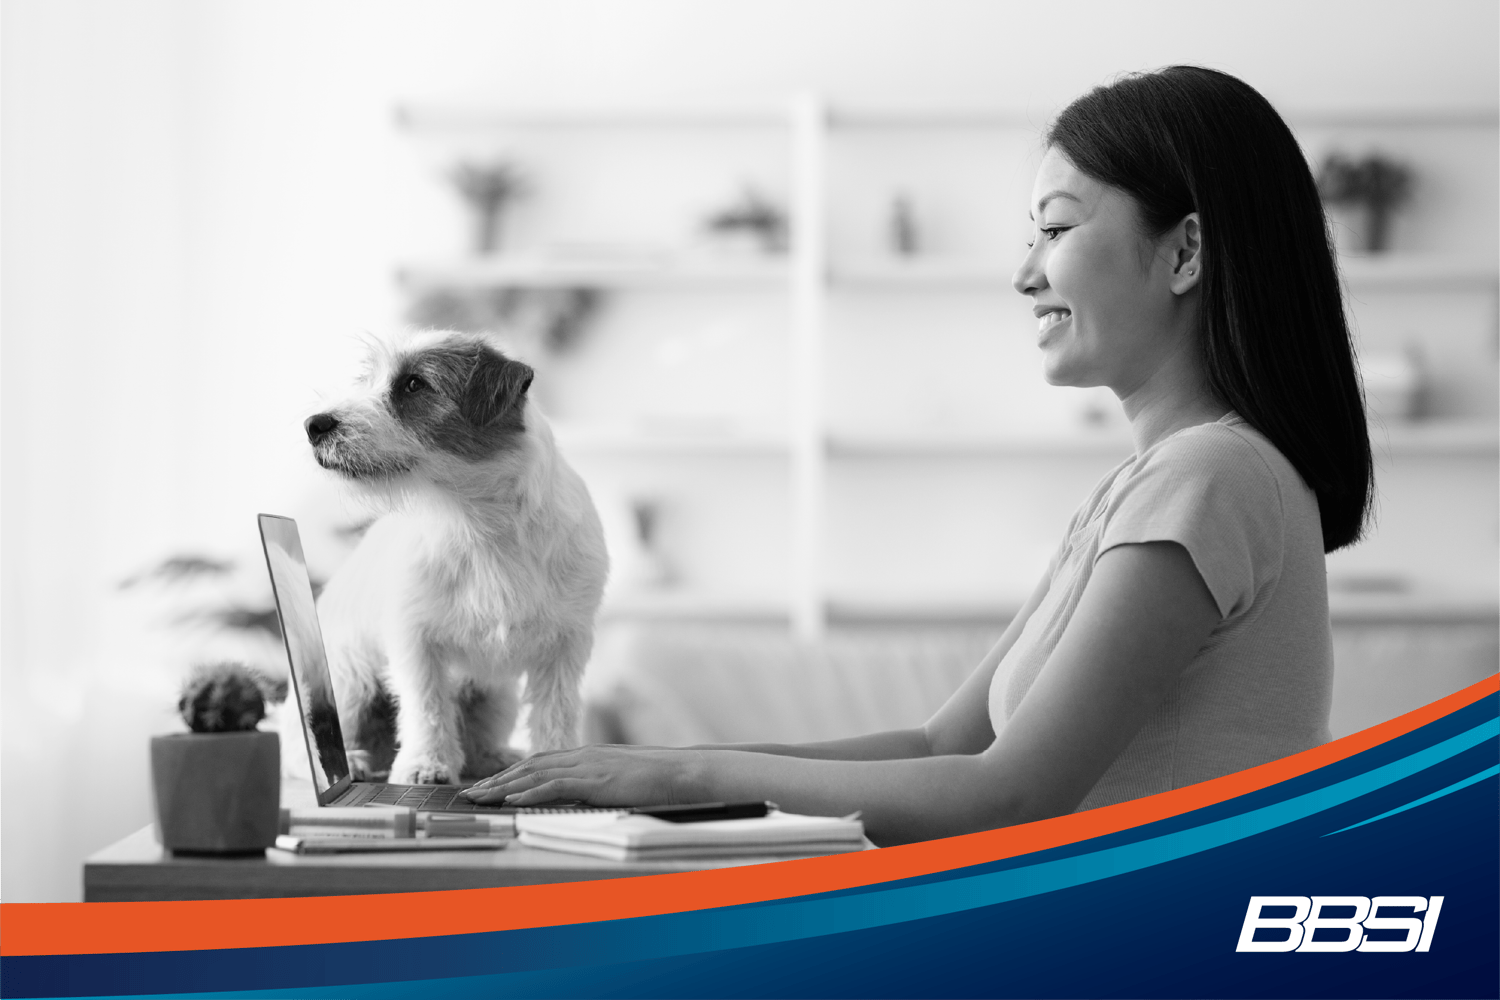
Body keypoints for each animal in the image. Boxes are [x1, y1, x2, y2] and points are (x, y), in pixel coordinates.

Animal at [304, 332, 609, 785]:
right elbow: (426, 705)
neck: (477, 521)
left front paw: (558, 759)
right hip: (348, 681)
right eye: (366, 381)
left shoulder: (565, 645)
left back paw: (493, 756)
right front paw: (426, 764)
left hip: (496, 695)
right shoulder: (414, 640)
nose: (314, 425)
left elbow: (557, 710)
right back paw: (355, 762)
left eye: (414, 384)